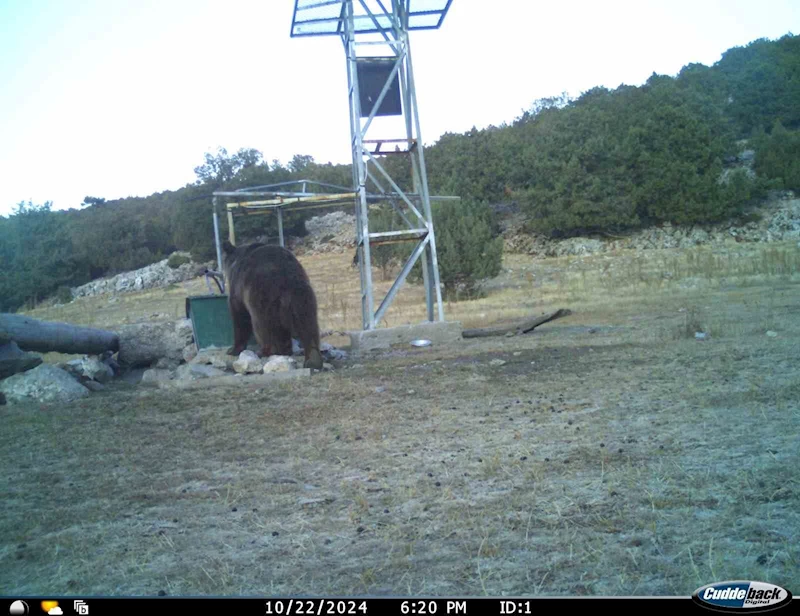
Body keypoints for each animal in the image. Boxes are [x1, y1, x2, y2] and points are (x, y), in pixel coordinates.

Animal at [220, 241, 324, 370]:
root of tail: (286, 277)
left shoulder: (238, 290)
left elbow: (240, 316)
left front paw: (233, 349)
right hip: (302, 296)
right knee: (308, 325)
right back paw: (312, 359)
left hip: (261, 297)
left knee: (263, 326)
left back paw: (265, 351)